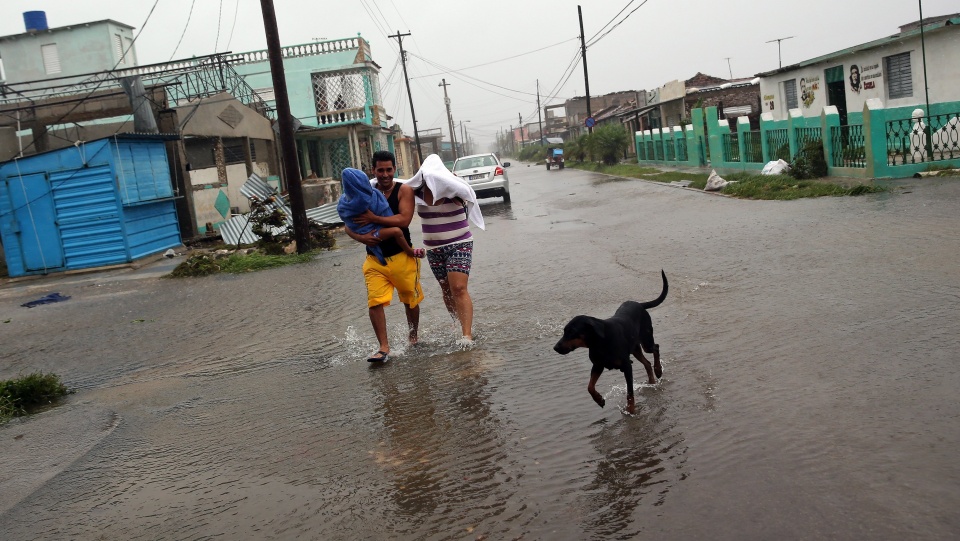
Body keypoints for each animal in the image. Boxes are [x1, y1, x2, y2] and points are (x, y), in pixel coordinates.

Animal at [556, 270, 668, 414]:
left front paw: (630, 411)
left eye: (572, 331)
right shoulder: (598, 365)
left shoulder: (627, 366)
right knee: (647, 363)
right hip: (635, 348)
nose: (555, 347)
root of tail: (640, 304)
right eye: (564, 331)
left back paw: (658, 370)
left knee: (655, 348)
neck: (600, 342)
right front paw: (599, 399)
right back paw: (652, 381)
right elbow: (590, 386)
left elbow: (630, 392)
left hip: (646, 339)